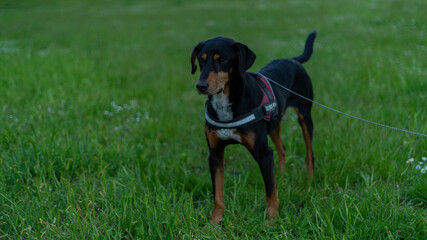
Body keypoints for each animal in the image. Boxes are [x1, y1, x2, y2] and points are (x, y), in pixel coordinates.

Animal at [192, 30, 316, 223]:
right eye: (201, 59)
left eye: (222, 59)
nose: (201, 86)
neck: (226, 103)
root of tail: (293, 60)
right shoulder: (215, 154)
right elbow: (218, 194)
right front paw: (214, 222)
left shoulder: (263, 153)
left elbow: (271, 192)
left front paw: (271, 222)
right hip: (274, 124)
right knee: (282, 148)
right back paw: (281, 176)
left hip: (305, 117)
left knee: (309, 153)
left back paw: (309, 182)